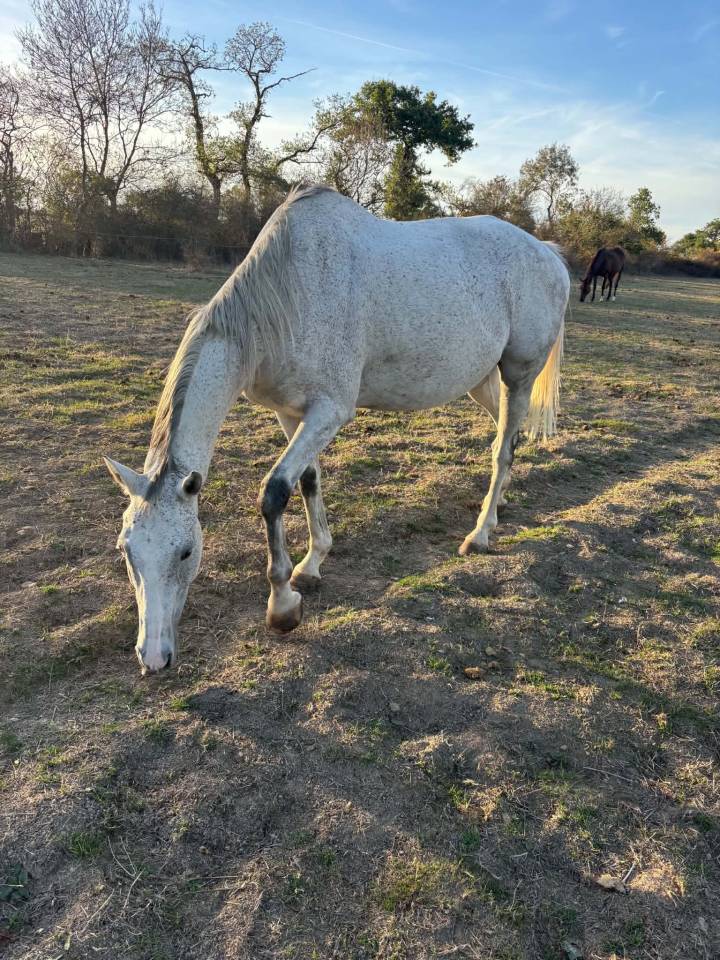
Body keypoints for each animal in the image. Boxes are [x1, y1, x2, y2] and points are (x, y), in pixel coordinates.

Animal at [104, 185, 569, 674]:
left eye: (186, 551)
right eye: (126, 550)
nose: (153, 657)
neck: (284, 299)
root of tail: (547, 253)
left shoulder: (329, 411)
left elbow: (274, 492)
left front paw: (283, 605)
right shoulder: (291, 413)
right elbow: (308, 480)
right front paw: (312, 563)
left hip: (518, 373)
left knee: (504, 448)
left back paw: (479, 535)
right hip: (482, 381)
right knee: (507, 434)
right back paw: (499, 508)